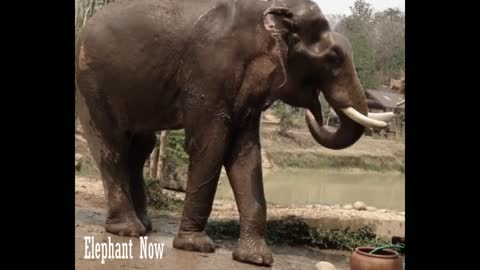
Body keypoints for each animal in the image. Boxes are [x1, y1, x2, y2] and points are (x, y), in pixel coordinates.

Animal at [75, 0, 390, 266]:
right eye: (333, 58)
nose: (315, 111)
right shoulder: (209, 72)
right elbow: (211, 144)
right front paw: (196, 246)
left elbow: (246, 153)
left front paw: (256, 259)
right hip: (93, 83)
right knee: (112, 146)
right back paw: (128, 230)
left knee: (140, 147)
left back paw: (145, 226)